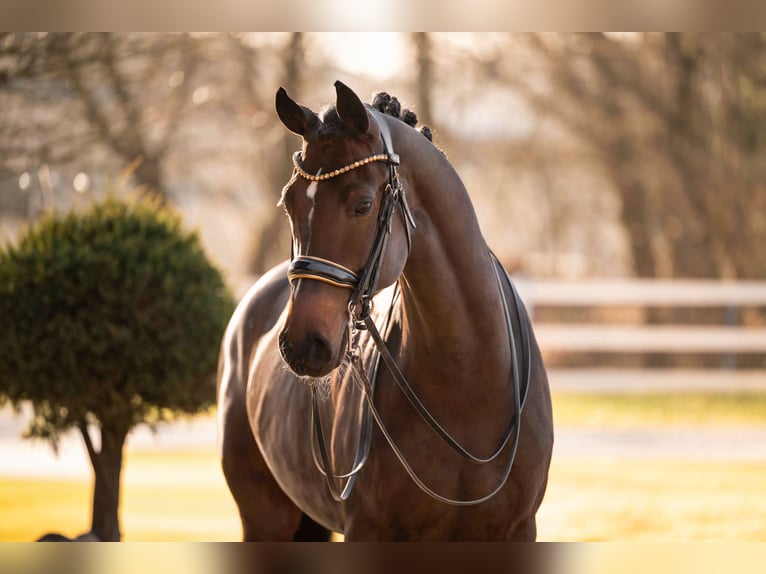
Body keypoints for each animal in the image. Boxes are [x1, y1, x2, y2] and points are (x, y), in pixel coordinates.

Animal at [217, 81, 553, 541]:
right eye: (289, 204)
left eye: (361, 205)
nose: (302, 344)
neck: (467, 386)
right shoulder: (367, 529)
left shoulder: (518, 529)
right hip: (264, 516)